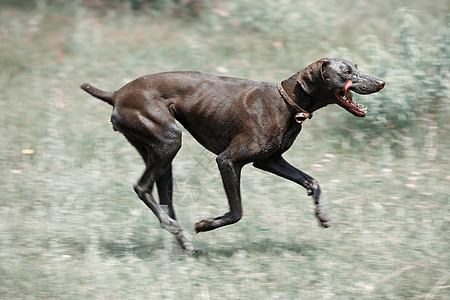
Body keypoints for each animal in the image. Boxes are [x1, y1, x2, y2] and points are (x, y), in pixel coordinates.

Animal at [80, 58, 384, 251]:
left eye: (357, 67)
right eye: (346, 72)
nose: (381, 82)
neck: (287, 102)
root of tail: (116, 93)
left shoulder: (269, 161)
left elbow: (312, 182)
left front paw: (321, 216)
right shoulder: (228, 161)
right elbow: (237, 211)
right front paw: (205, 224)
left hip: (162, 157)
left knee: (164, 201)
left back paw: (183, 241)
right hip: (169, 141)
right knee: (141, 187)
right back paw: (180, 233)